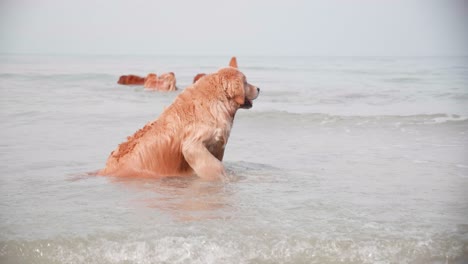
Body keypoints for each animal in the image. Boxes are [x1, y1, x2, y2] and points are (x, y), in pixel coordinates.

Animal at [99, 55, 260, 179]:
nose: (258, 88)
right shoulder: (193, 144)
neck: (217, 100)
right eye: (246, 82)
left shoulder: (217, 146)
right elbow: (214, 165)